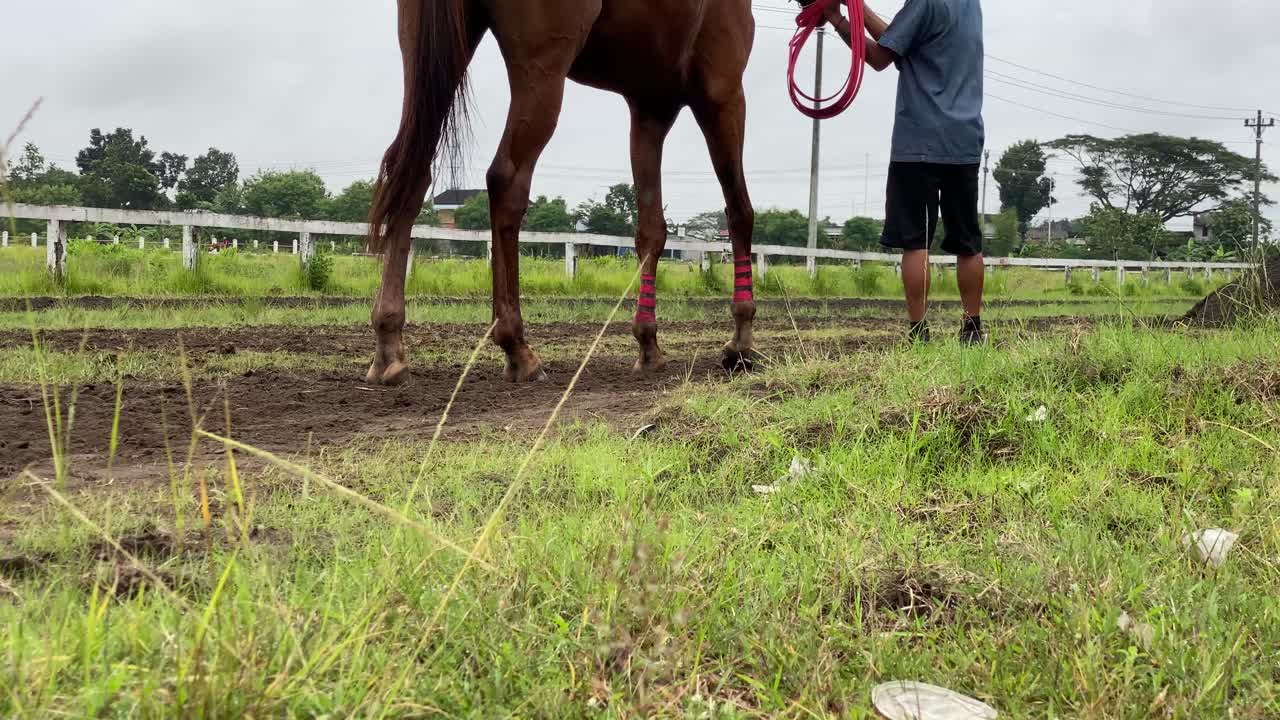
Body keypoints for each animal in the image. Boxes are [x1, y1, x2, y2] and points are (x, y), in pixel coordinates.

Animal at [364, 0, 759, 386]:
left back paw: (389, 345)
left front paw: (649, 345)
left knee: (411, 172)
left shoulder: (650, 107)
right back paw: (517, 347)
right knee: (505, 179)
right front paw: (740, 345)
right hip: (543, 68)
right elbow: (740, 212)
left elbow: (651, 232)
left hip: (429, 56)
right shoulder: (724, 90)